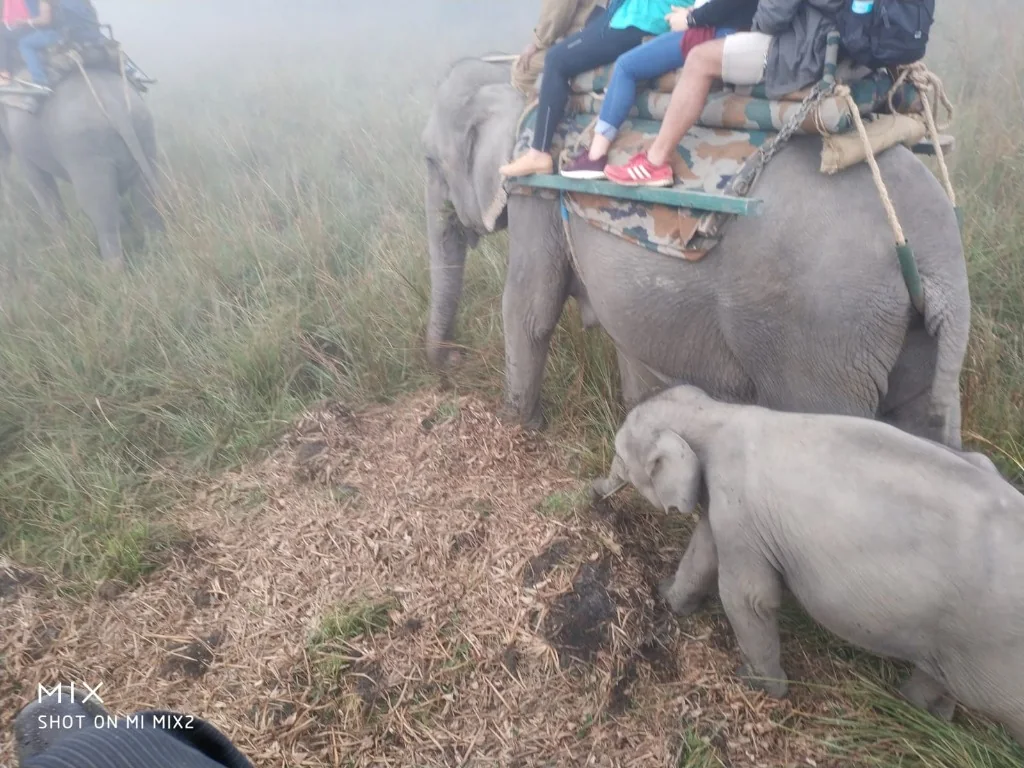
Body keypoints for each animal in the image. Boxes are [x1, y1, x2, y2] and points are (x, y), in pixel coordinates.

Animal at [0, 68, 161, 266]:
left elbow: (41, 186)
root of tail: (114, 106)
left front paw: (62, 249)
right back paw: (158, 251)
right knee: (146, 201)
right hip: (143, 130)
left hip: (86, 150)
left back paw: (112, 270)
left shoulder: (19, 142)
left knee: (102, 213)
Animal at [422, 58, 970, 448]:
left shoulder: (534, 196)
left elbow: (529, 311)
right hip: (901, 333)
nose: (449, 363)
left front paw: (519, 429)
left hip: (824, 337)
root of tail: (933, 257)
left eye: (430, 164)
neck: (518, 81)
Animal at [592, 383, 1024, 747]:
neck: (720, 412)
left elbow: (749, 597)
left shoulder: (739, 504)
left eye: (620, 455)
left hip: (996, 651)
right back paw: (924, 711)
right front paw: (668, 596)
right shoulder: (730, 510)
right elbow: (705, 551)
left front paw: (758, 686)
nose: (593, 496)